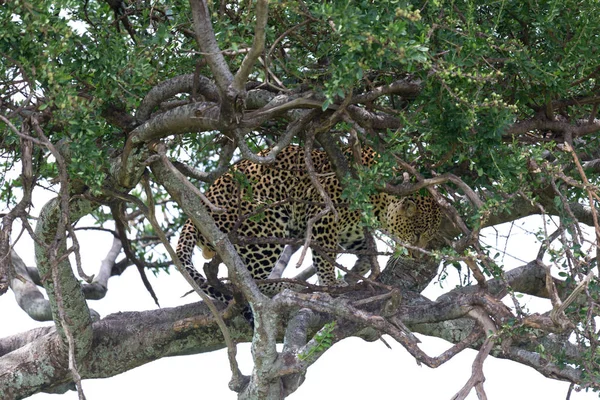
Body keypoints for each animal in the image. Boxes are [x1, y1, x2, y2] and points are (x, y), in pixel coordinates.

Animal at [173, 145, 440, 304]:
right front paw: (331, 284)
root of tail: (197, 212)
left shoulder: (351, 231)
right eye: (417, 235)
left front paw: (352, 275)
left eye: (429, 237)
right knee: (248, 280)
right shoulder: (324, 217)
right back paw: (285, 286)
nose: (419, 257)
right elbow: (325, 257)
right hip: (265, 220)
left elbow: (365, 252)